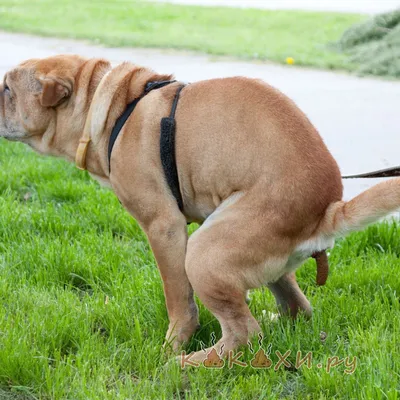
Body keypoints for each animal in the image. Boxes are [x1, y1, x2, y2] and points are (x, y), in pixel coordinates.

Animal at [0, 54, 400, 364]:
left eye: (7, 89)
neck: (112, 109)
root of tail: (327, 211)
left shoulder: (164, 227)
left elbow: (178, 298)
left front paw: (173, 344)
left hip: (204, 251)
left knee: (244, 333)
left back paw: (189, 363)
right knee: (295, 308)